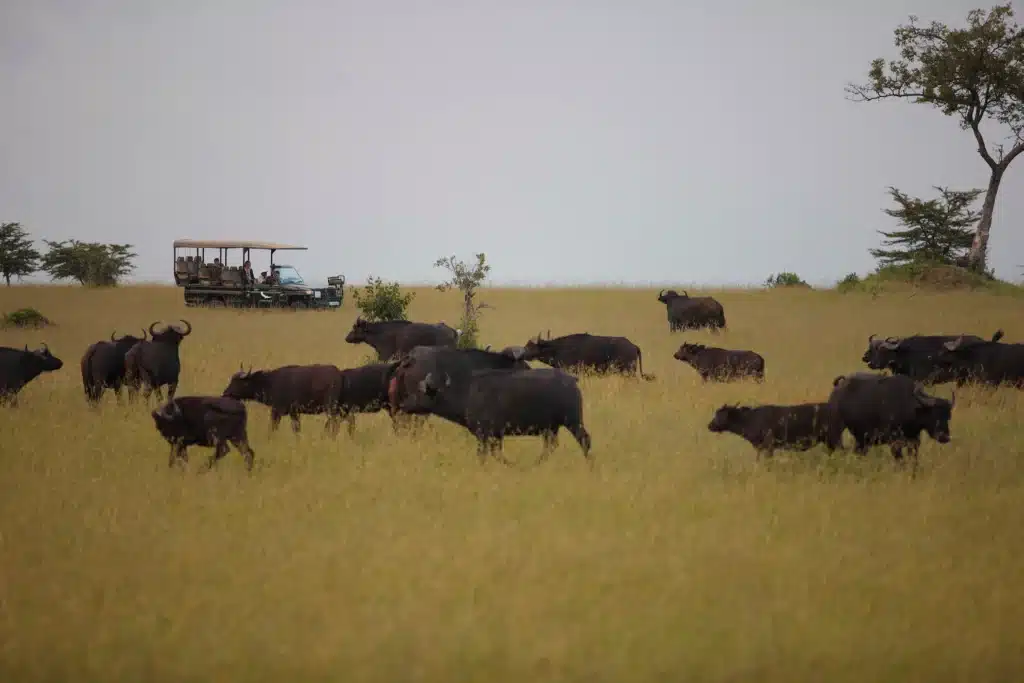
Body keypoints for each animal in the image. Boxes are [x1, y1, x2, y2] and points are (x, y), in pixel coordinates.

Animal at [396, 359, 593, 467]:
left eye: (420, 392)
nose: (403, 404)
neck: (467, 393)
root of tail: (571, 381)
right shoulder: (496, 436)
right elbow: (497, 454)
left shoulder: (483, 435)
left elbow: (484, 455)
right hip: (551, 429)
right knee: (549, 447)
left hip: (573, 422)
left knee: (585, 440)